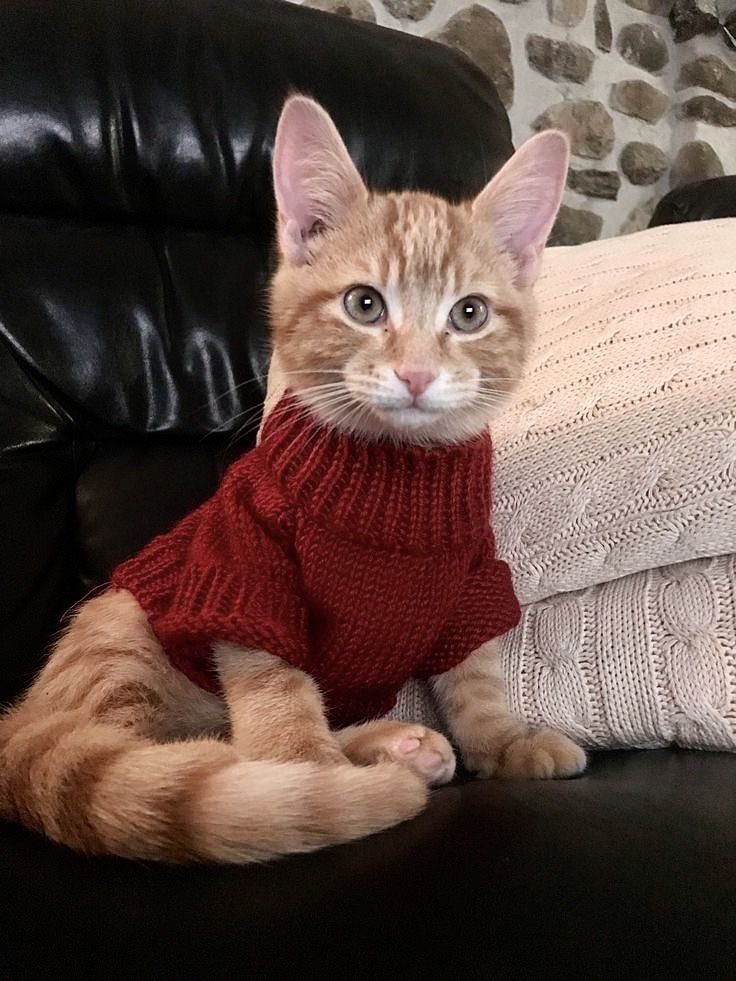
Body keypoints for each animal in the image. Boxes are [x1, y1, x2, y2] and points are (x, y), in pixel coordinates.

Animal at [1, 95, 588, 860]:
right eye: (365, 304)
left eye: (470, 313)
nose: (417, 374)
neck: (391, 478)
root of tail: (23, 718)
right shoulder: (247, 570)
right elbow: (275, 691)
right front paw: (310, 771)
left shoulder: (469, 581)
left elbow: (477, 674)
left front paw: (506, 738)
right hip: (124, 635)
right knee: (179, 753)